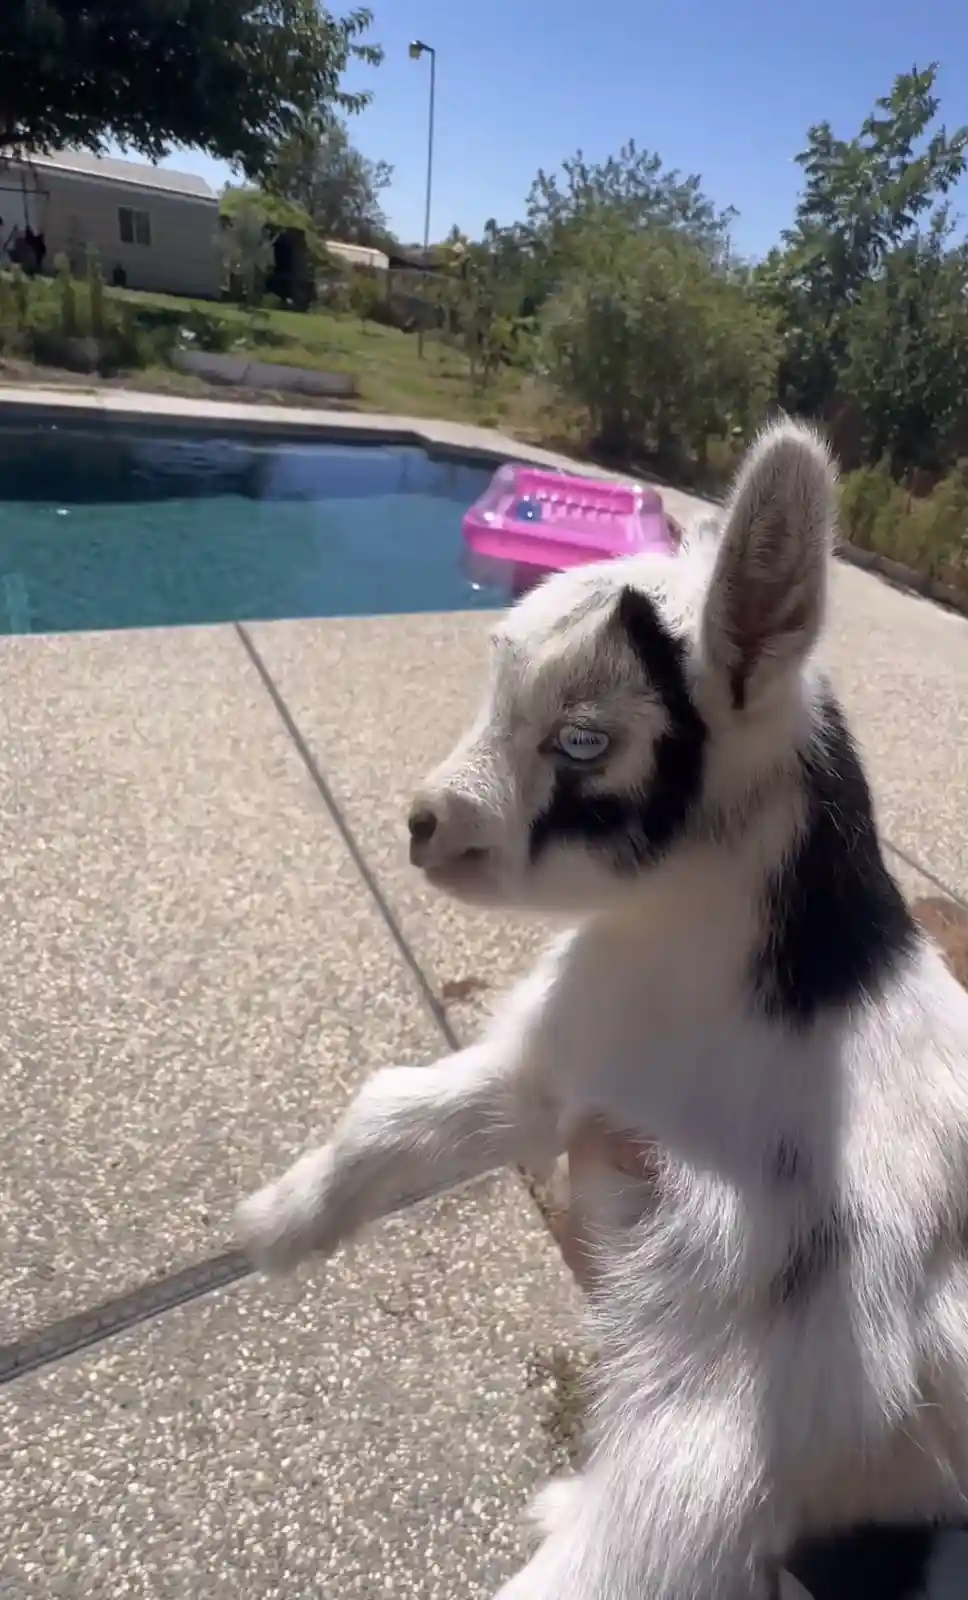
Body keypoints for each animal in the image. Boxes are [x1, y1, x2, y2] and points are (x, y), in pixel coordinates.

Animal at [237, 420, 968, 1599]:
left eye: (582, 741)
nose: (422, 823)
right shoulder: (569, 1069)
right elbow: (393, 1112)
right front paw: (278, 1222)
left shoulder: (745, 1374)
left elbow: (632, 1548)